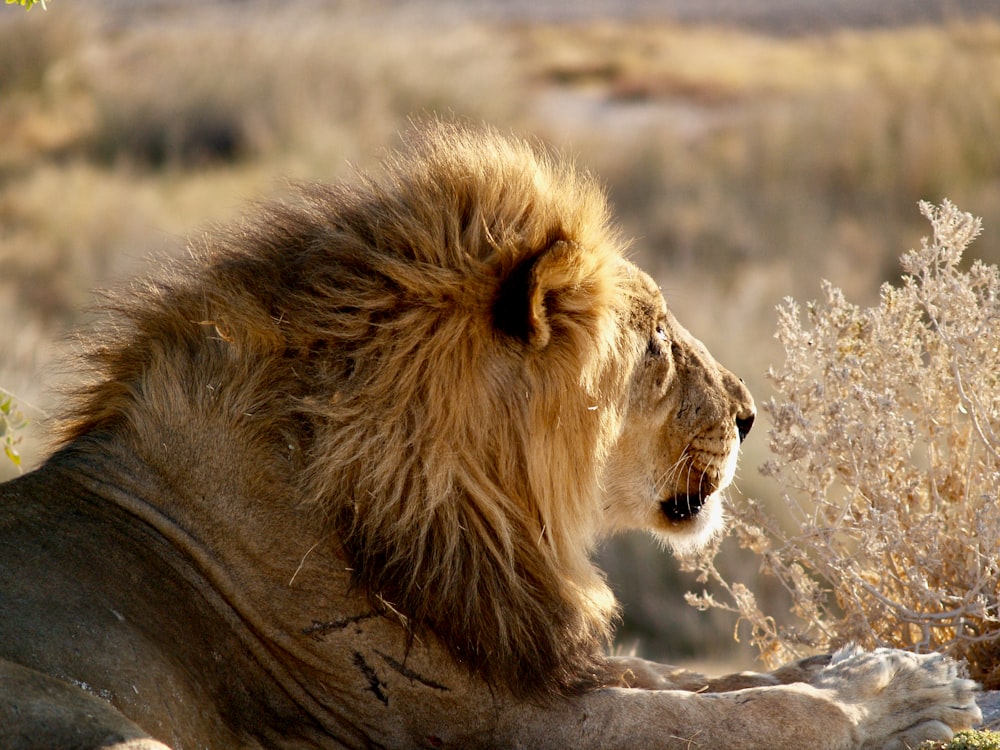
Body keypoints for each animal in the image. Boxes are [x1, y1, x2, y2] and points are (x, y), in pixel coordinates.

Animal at [0, 120, 980, 748]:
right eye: (656, 338)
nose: (748, 414)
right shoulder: (488, 720)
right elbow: (749, 716)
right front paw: (905, 699)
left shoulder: (533, 658)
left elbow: (711, 680)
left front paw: (883, 668)